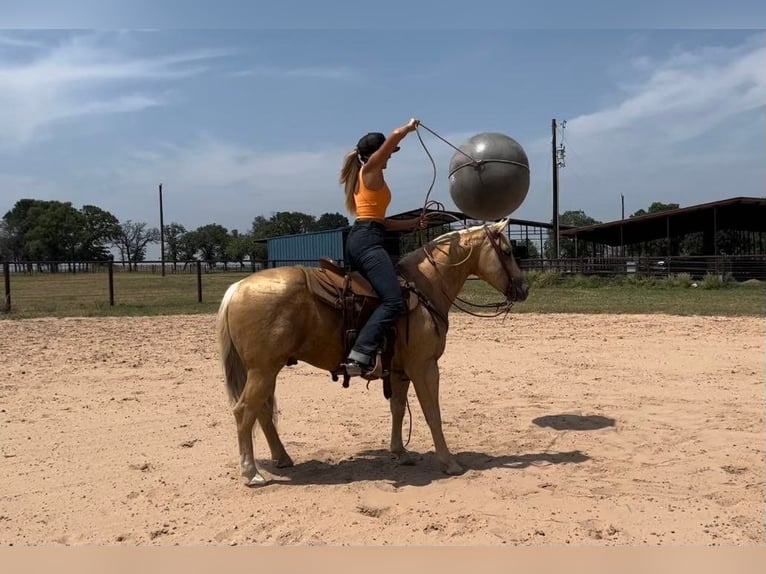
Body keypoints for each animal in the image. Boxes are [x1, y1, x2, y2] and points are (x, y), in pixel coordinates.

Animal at [216, 218, 528, 488]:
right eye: (507, 251)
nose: (523, 289)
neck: (425, 287)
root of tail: (237, 288)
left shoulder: (400, 371)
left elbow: (398, 409)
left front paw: (400, 452)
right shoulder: (425, 367)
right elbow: (432, 413)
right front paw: (449, 462)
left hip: (267, 370)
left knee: (262, 411)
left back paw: (282, 458)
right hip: (263, 370)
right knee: (244, 411)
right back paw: (251, 472)